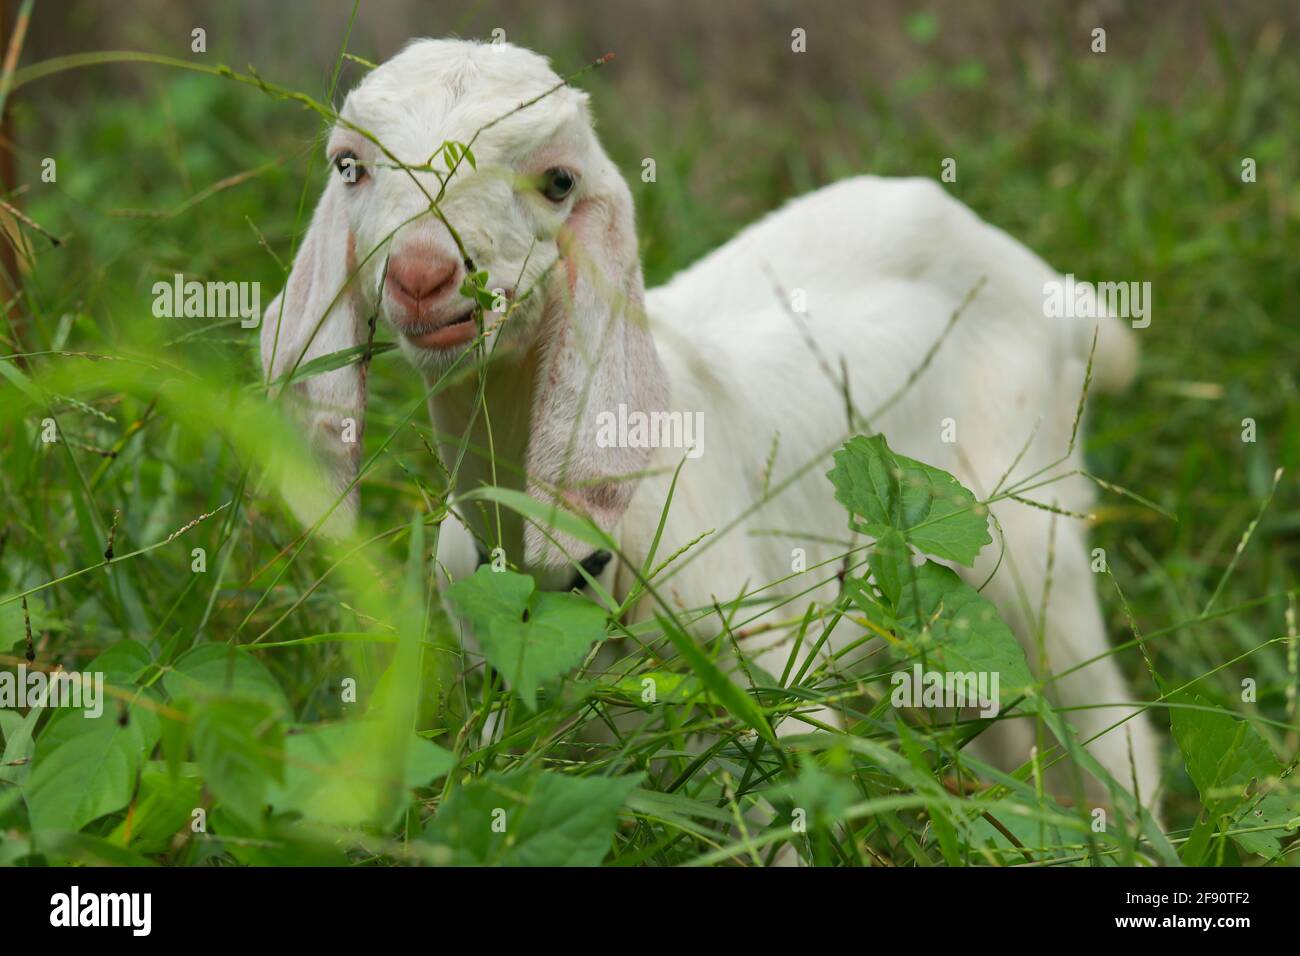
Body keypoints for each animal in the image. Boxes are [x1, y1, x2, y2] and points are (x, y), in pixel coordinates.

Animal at [261, 38, 1160, 812]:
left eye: (558, 181)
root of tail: (1055, 288)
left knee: (1113, 740)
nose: (423, 275)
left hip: (1034, 537)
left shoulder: (767, 688)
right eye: (351, 168)